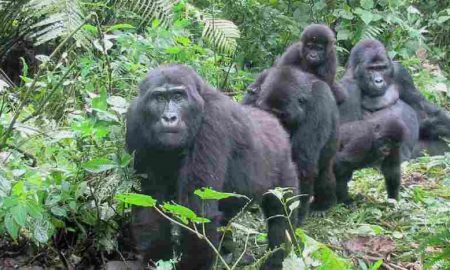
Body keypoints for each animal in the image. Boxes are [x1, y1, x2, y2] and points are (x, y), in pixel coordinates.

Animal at [125, 64, 298, 268]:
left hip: (284, 168)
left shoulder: (213, 121)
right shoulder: (135, 122)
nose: (169, 117)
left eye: (178, 97)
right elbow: (149, 200)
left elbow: (198, 211)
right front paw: (158, 257)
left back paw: (275, 260)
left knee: (282, 216)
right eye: (159, 98)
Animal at [250, 66, 338, 223]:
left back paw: (323, 204)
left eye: (281, 115)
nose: (276, 127)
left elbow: (301, 164)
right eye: (269, 112)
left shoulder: (318, 105)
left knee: (324, 174)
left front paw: (295, 216)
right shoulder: (255, 88)